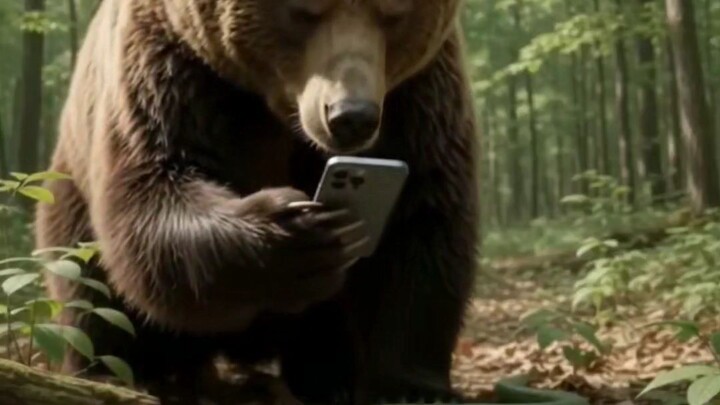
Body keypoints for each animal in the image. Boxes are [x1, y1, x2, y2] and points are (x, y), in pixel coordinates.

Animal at [34, 0, 480, 404]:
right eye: (305, 11)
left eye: (394, 14)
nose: (351, 116)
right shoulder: (172, 70)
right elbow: (157, 187)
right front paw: (295, 235)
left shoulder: (417, 97)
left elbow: (423, 224)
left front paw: (412, 388)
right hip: (67, 193)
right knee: (92, 295)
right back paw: (130, 376)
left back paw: (325, 377)